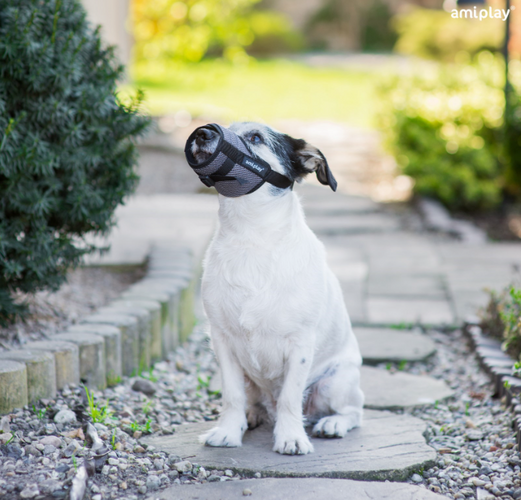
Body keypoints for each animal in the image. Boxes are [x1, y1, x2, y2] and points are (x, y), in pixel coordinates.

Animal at [188, 122, 364, 455]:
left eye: (256, 137)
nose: (203, 132)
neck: (250, 238)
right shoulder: (222, 342)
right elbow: (231, 396)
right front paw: (228, 432)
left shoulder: (300, 346)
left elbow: (290, 399)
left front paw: (291, 437)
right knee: (254, 402)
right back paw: (251, 416)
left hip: (336, 383)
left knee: (353, 412)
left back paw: (332, 423)